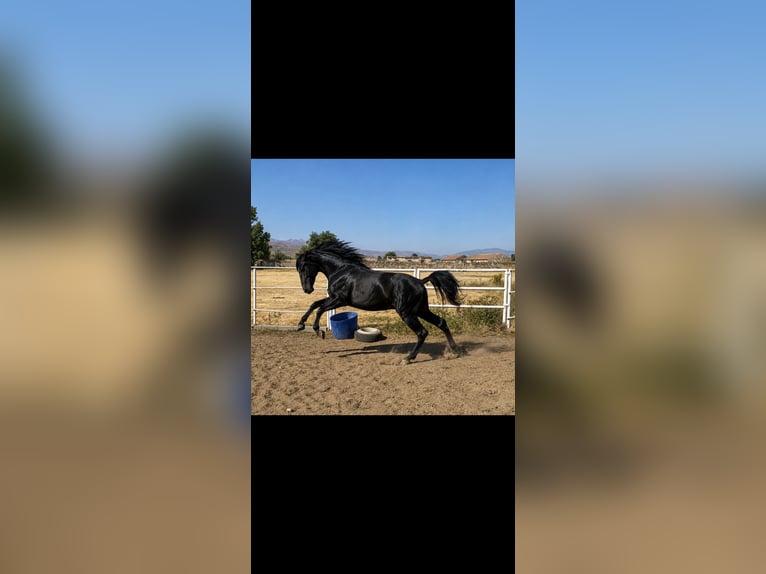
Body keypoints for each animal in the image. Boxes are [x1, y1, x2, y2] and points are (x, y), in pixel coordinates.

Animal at [296, 240, 462, 364]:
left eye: (303, 267)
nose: (307, 289)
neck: (341, 272)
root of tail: (420, 282)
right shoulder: (333, 299)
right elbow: (314, 304)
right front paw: (300, 325)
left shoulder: (339, 300)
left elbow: (320, 309)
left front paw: (319, 331)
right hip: (421, 310)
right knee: (441, 322)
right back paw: (455, 351)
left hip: (407, 313)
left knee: (422, 332)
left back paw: (407, 359)